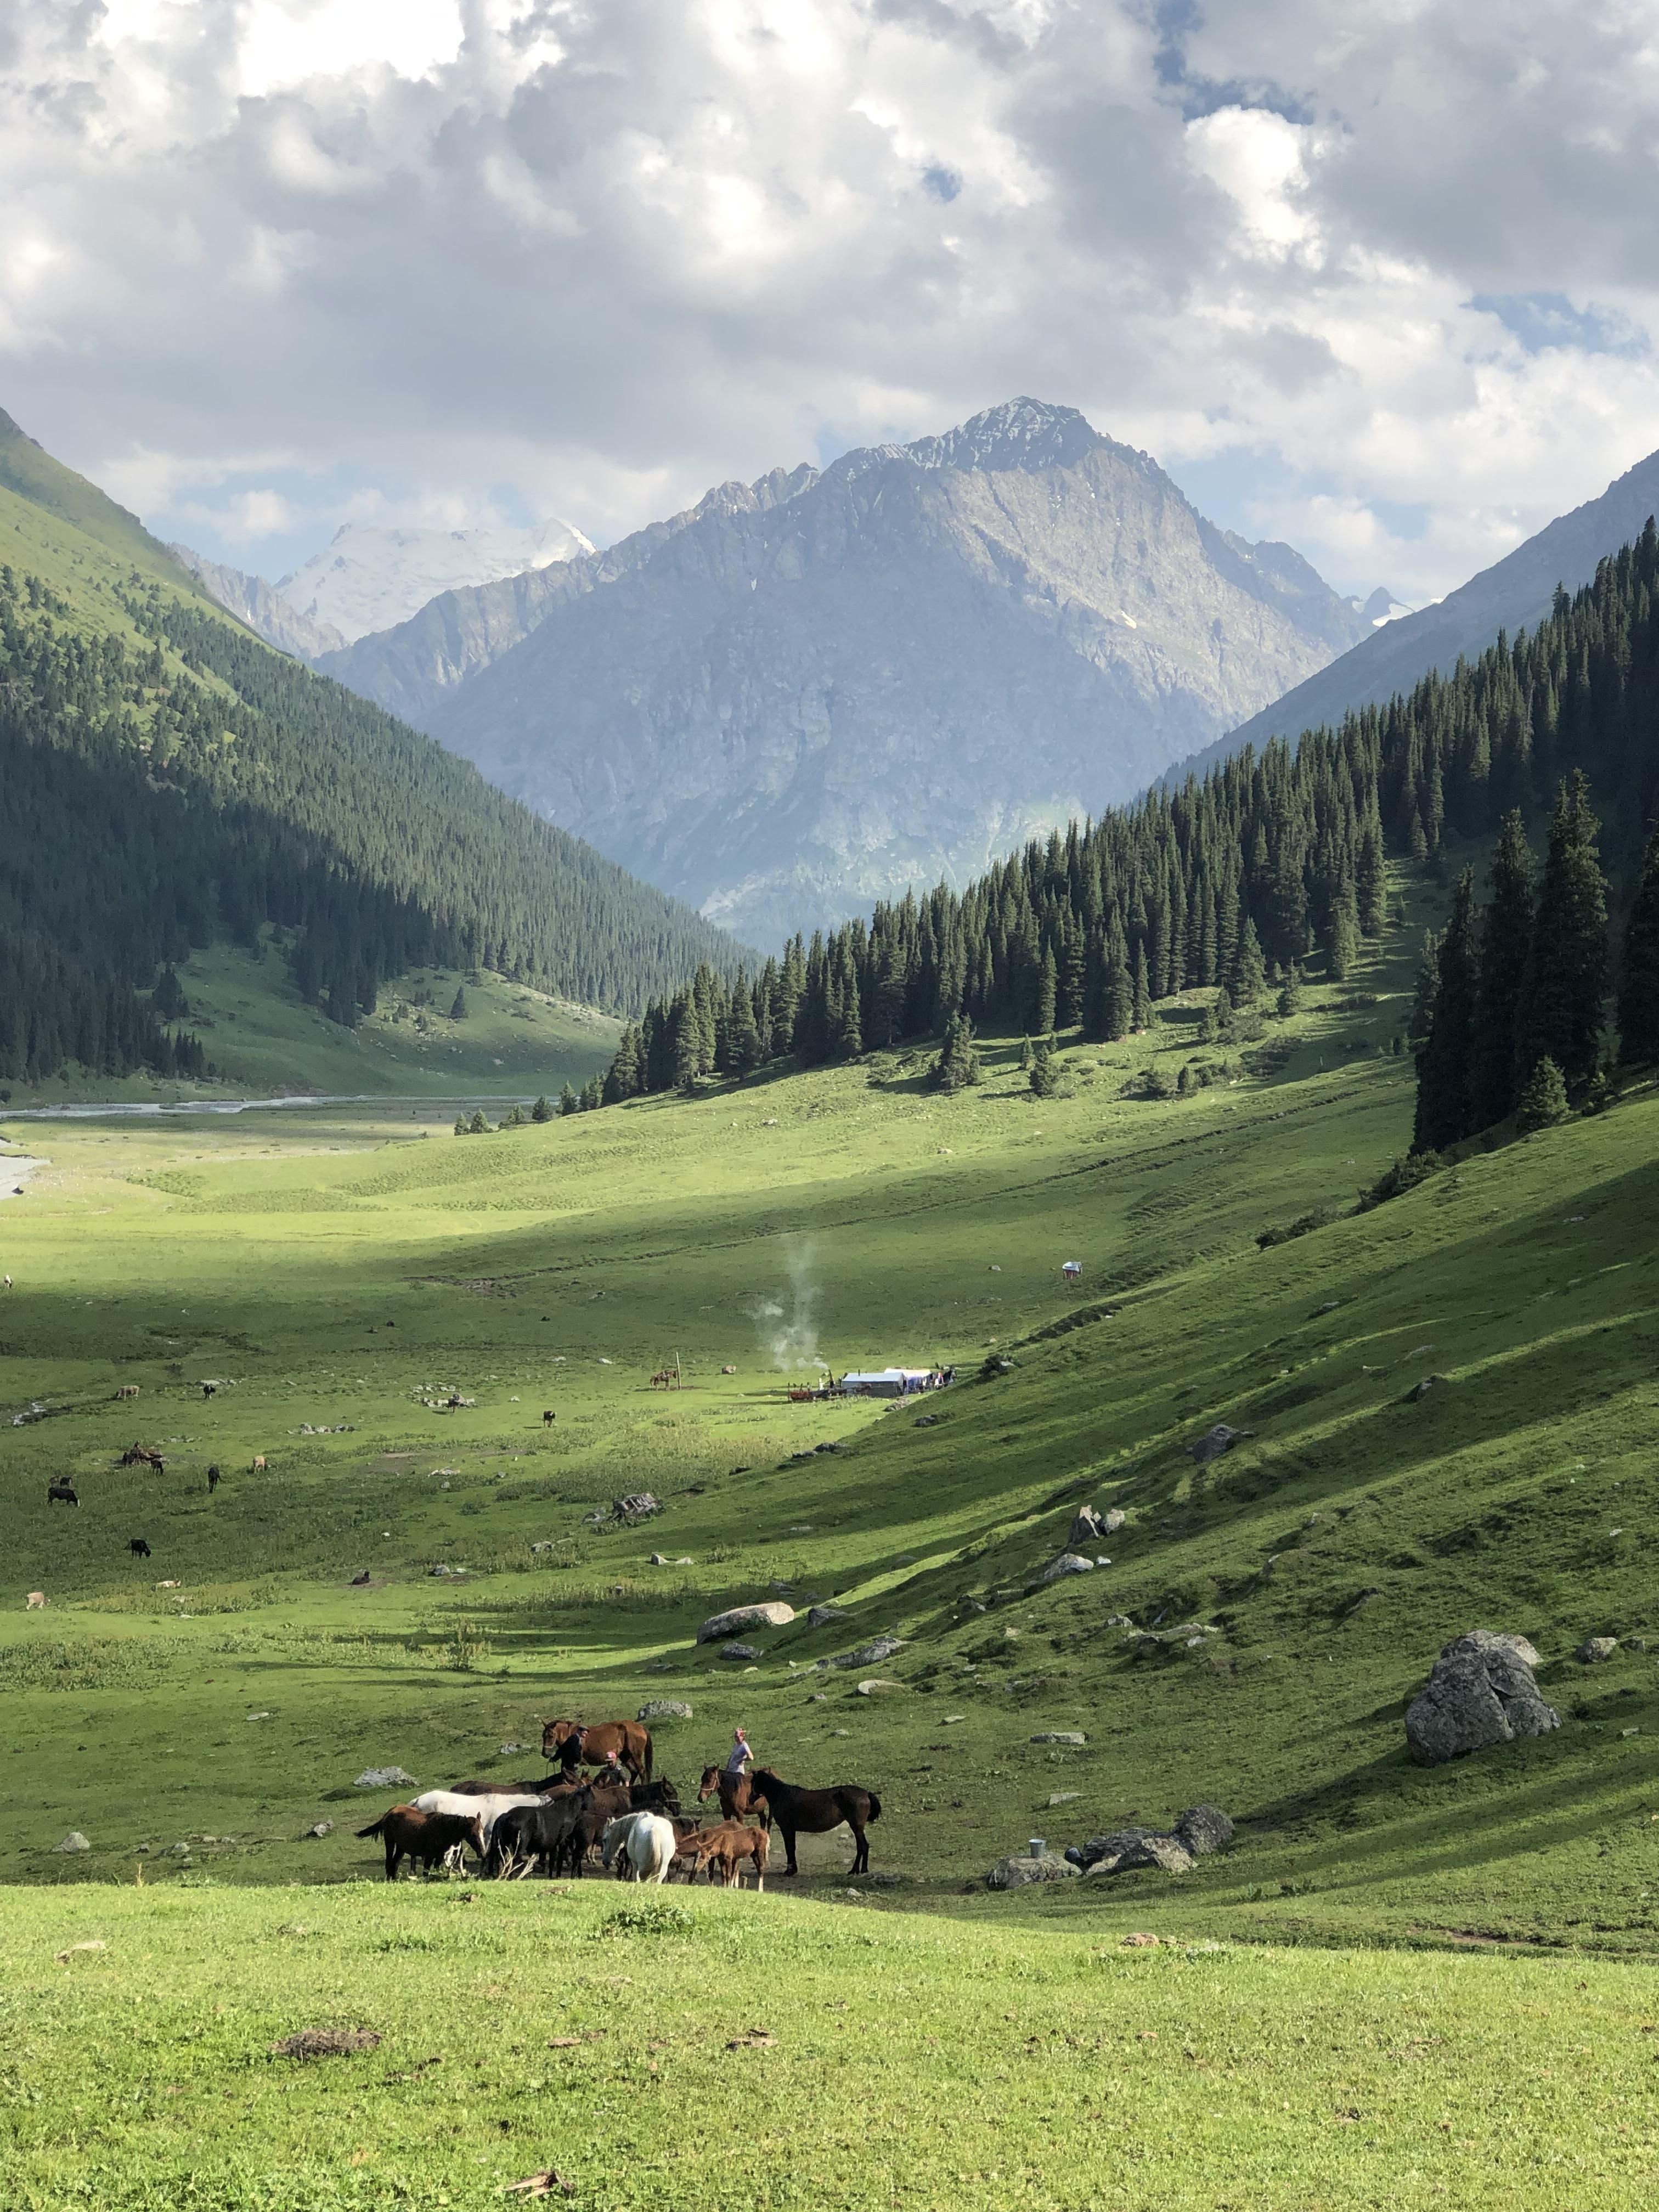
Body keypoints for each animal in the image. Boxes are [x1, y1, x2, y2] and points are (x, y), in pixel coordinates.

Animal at [352, 1796, 477, 1884]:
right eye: (473, 1832)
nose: (480, 1849)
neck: (444, 1828)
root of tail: (390, 1812)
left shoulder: (439, 1855)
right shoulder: (430, 1855)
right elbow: (426, 1871)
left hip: (401, 1848)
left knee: (395, 1863)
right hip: (390, 1842)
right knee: (389, 1862)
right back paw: (389, 1879)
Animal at [541, 1716, 654, 1787]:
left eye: (551, 1735)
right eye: (543, 1735)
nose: (545, 1754)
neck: (571, 1735)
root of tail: (642, 1728)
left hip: (635, 1756)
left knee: (641, 1771)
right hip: (626, 1757)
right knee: (634, 1772)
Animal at [601, 1814, 676, 1884]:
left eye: (605, 1840)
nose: (605, 1862)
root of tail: (655, 1830)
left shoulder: (635, 1864)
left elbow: (635, 1878)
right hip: (662, 1869)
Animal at [703, 1760, 778, 1831]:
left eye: (709, 1780)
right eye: (702, 1779)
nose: (701, 1798)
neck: (732, 1791)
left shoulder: (740, 1815)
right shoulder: (726, 1814)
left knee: (769, 1821)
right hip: (759, 1808)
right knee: (763, 1820)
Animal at [747, 1769, 884, 1876]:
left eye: (754, 1782)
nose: (750, 1800)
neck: (781, 1795)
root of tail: (866, 1793)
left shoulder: (787, 1829)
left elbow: (789, 1848)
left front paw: (790, 1871)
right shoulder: (791, 1830)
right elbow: (792, 1848)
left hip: (856, 1827)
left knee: (864, 1846)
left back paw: (863, 1870)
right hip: (857, 1828)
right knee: (860, 1847)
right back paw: (854, 1870)